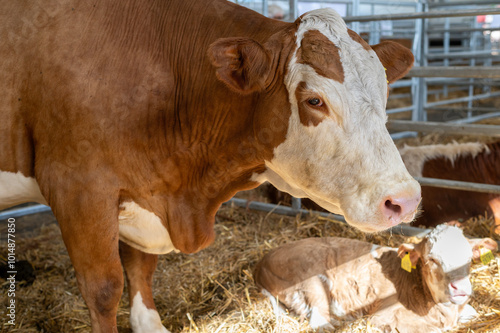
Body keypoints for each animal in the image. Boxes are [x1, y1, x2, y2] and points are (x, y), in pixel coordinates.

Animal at [0, 0, 422, 330]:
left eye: (385, 91)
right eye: (314, 100)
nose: (404, 200)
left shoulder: (145, 187)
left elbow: (141, 266)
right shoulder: (77, 187)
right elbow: (104, 288)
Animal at [254, 224, 492, 330]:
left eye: (468, 257)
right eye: (432, 259)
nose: (460, 288)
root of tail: (262, 261)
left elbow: (471, 312)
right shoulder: (384, 315)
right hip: (309, 283)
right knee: (320, 322)